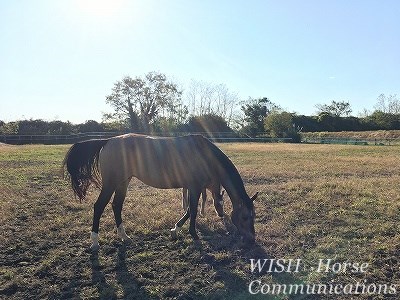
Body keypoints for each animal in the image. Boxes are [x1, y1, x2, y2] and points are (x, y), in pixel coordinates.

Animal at [62, 134, 256, 251]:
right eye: (245, 217)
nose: (252, 240)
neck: (204, 154)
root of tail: (108, 140)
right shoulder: (194, 187)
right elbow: (192, 211)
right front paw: (193, 235)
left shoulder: (194, 187)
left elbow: (188, 210)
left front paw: (175, 229)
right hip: (111, 184)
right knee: (99, 207)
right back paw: (95, 242)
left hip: (123, 182)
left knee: (117, 206)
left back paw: (124, 236)